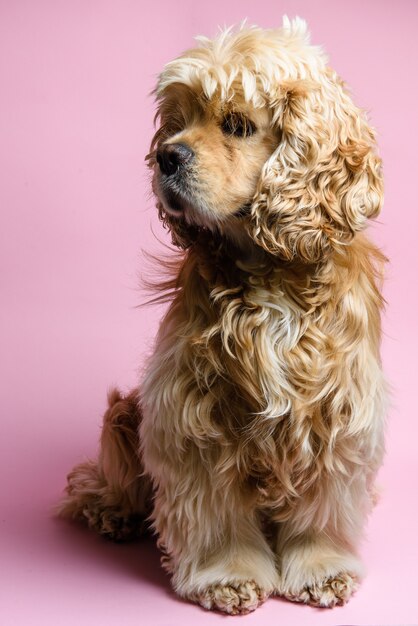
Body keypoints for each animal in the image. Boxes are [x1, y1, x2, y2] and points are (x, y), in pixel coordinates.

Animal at [57, 18, 386, 616]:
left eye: (237, 125)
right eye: (178, 122)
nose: (166, 156)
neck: (268, 275)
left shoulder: (339, 408)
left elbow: (324, 505)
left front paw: (322, 569)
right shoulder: (192, 413)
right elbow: (213, 514)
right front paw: (226, 577)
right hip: (123, 415)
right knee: (103, 481)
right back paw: (110, 510)